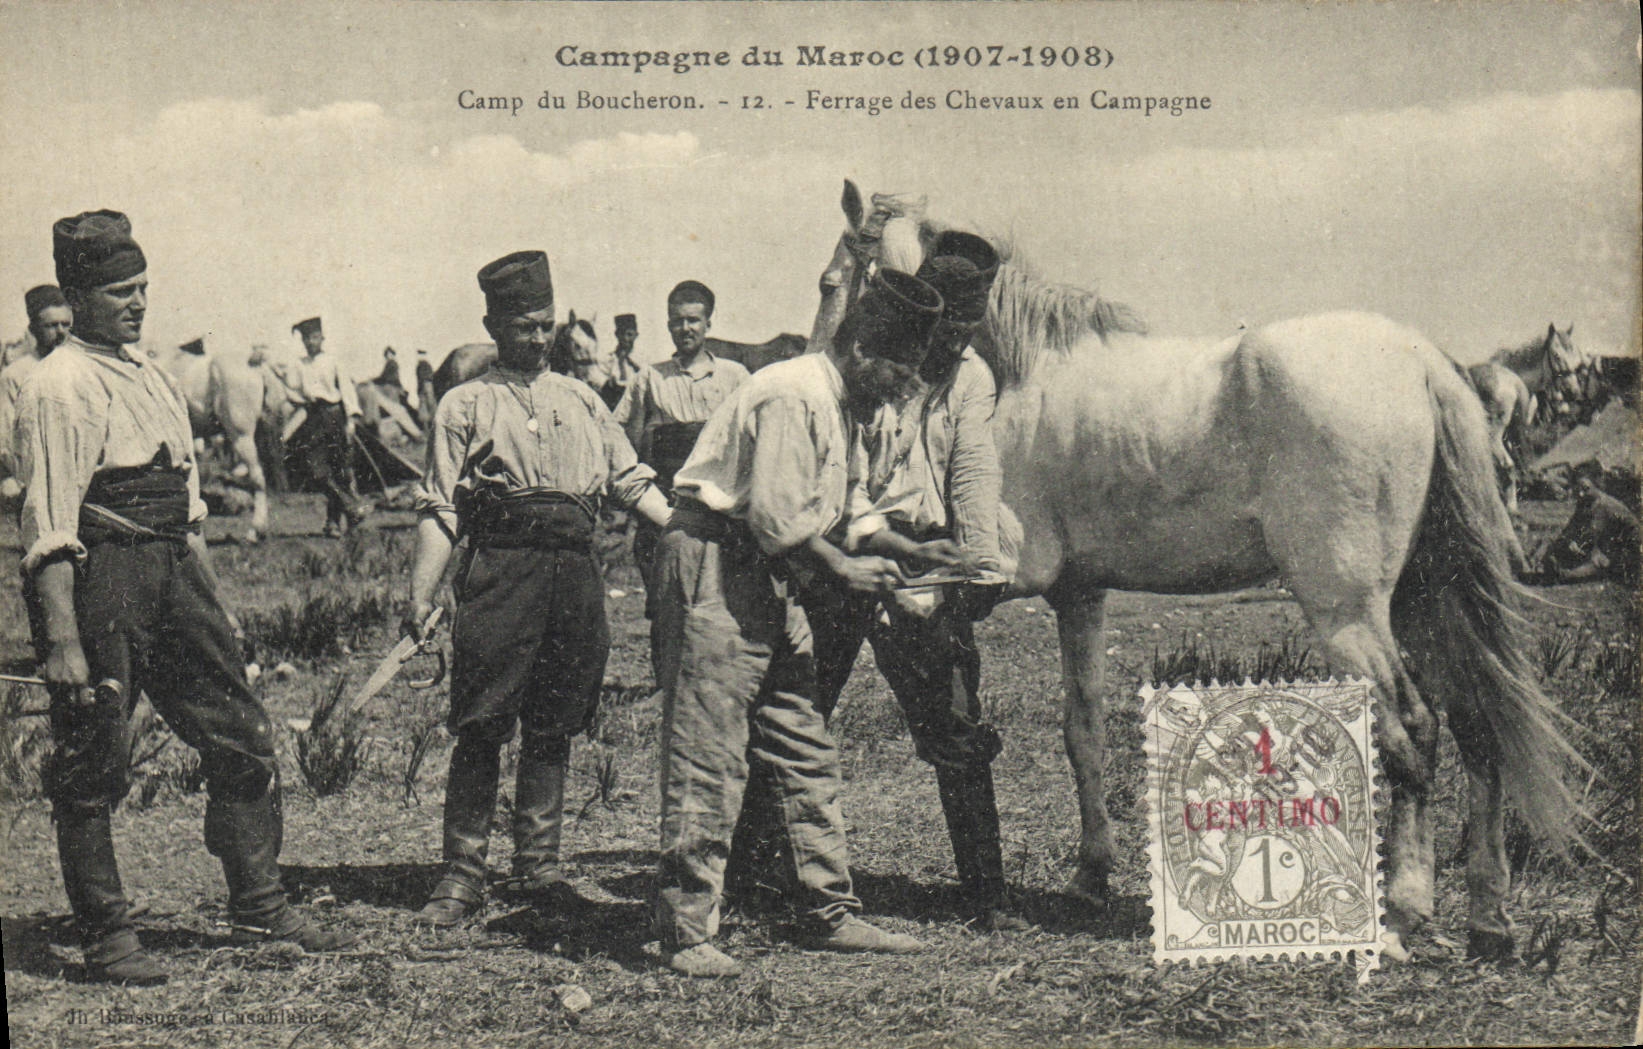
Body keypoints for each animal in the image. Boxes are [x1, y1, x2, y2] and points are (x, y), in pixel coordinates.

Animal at [811, 180, 1586, 963]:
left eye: (829, 283)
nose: (830, 380)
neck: (1020, 378)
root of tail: (1420, 360)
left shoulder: (996, 575)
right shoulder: (1078, 594)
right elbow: (1083, 730)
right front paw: (1091, 872)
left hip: (1350, 613)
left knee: (1414, 731)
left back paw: (1401, 912)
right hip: (1427, 601)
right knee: (1478, 724)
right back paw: (1488, 914)